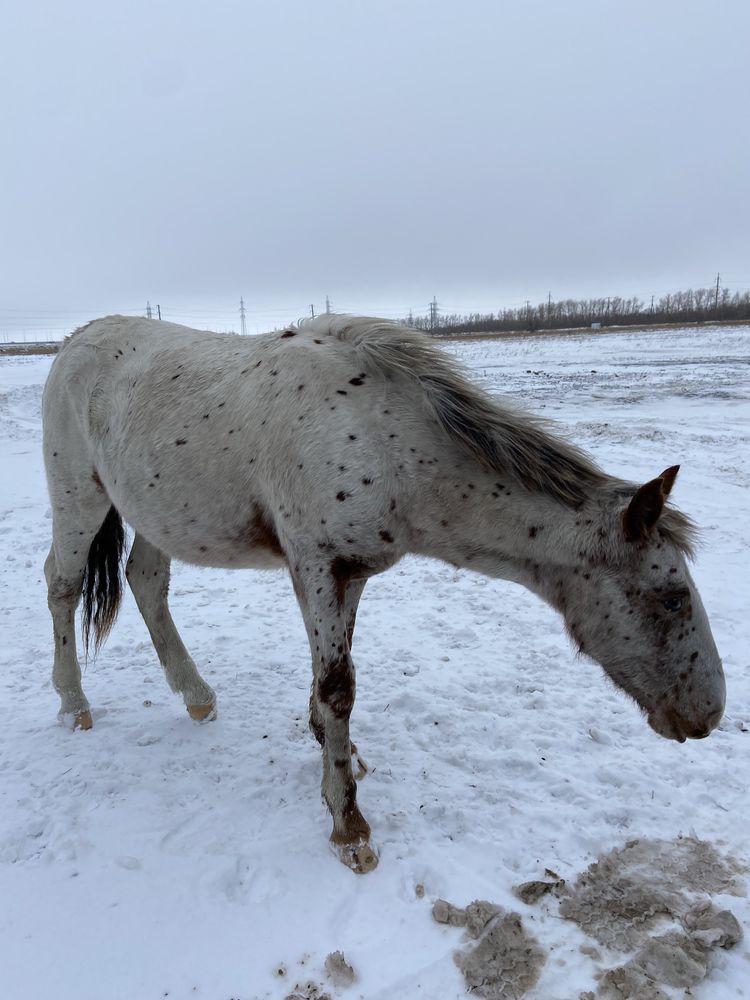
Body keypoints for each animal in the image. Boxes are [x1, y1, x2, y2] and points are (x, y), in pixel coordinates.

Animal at [44, 316, 724, 872]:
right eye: (671, 597)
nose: (709, 715)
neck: (386, 441)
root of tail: (75, 340)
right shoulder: (319, 567)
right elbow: (337, 687)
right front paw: (349, 826)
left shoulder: (349, 573)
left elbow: (333, 677)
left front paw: (334, 751)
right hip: (79, 499)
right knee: (63, 584)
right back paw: (74, 705)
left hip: (157, 515)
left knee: (147, 581)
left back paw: (197, 696)